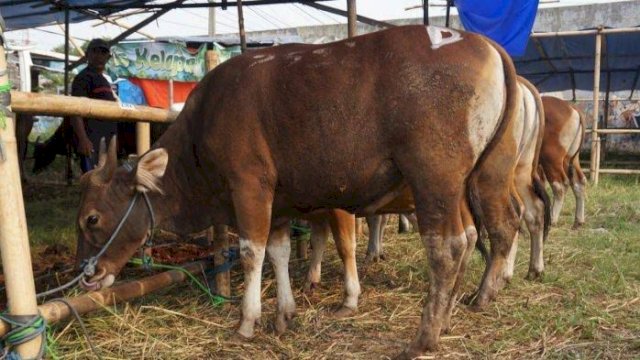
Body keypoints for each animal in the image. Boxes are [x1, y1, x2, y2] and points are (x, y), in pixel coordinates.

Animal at [72, 26, 524, 358]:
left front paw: (247, 321)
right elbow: (279, 252)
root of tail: (483, 43)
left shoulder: (250, 187)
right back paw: (456, 310)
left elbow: (252, 253)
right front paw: (283, 313)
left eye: (91, 218)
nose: (87, 274)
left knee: (450, 245)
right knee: (480, 233)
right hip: (475, 180)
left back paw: (425, 336)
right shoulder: (280, 202)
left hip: (435, 178)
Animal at [536, 95, 588, 228]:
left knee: (559, 186)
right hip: (571, 159)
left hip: (551, 159)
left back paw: (552, 219)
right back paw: (578, 220)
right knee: (579, 181)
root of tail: (571, 108)